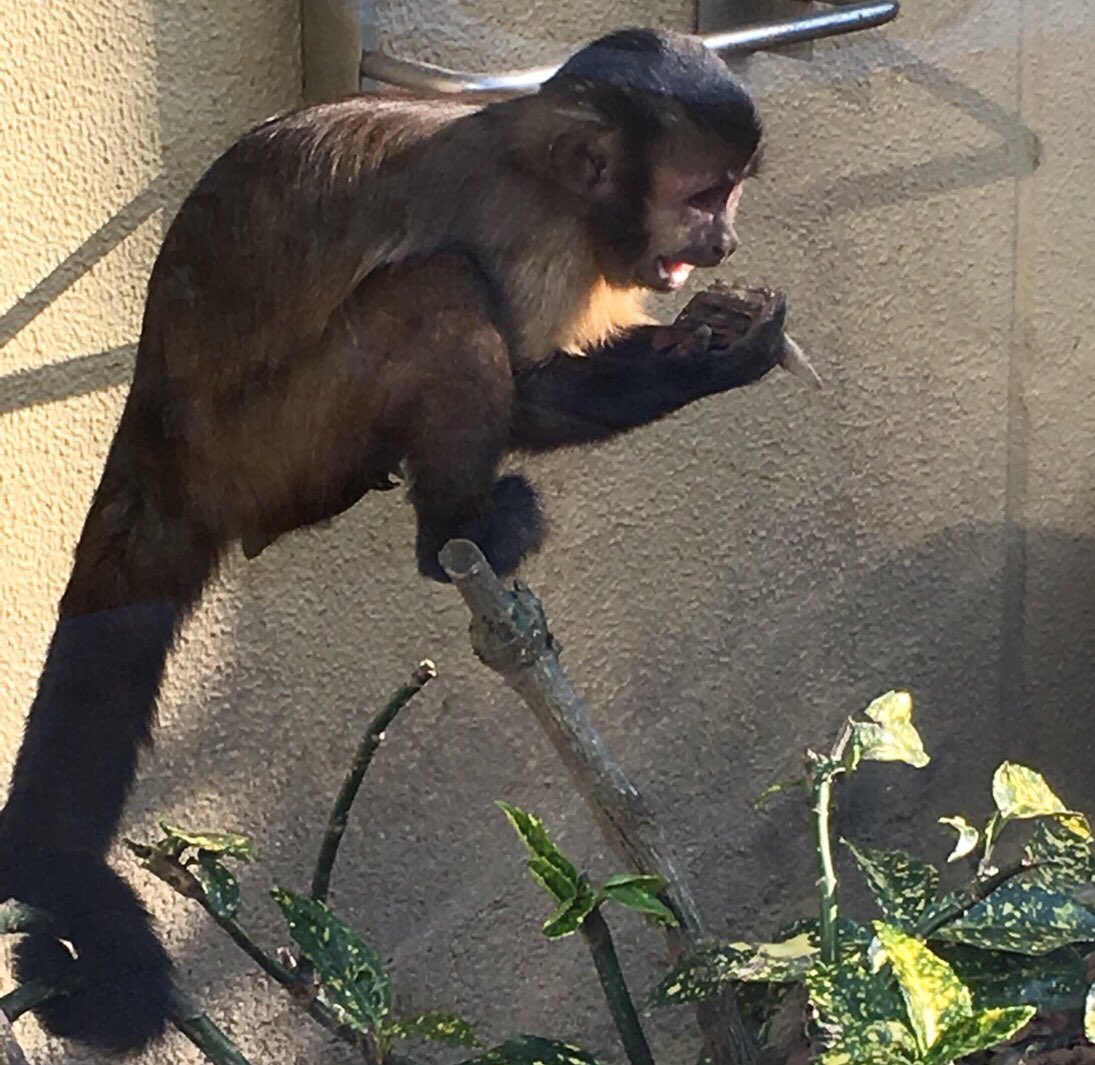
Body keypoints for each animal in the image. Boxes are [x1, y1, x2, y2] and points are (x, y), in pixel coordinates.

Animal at [0, 26, 788, 1055]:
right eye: (702, 197)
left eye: (728, 197)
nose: (720, 243)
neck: (544, 170)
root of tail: (162, 420)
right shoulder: (531, 233)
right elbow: (527, 386)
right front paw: (727, 355)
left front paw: (724, 339)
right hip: (270, 446)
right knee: (439, 290)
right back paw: (455, 530)